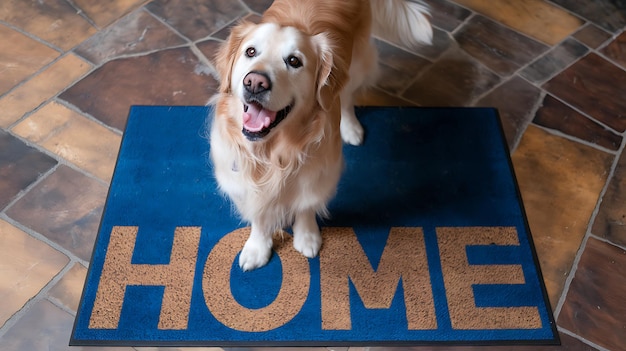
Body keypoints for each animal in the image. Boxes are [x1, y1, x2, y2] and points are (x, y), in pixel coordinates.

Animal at [210, 0, 428, 272]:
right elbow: (259, 213)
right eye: (250, 52)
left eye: (294, 61)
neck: (273, 154)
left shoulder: (318, 170)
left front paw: (307, 238)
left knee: (346, 96)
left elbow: (306, 206)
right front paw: (257, 248)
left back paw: (351, 128)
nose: (255, 82)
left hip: (355, 64)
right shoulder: (241, 176)